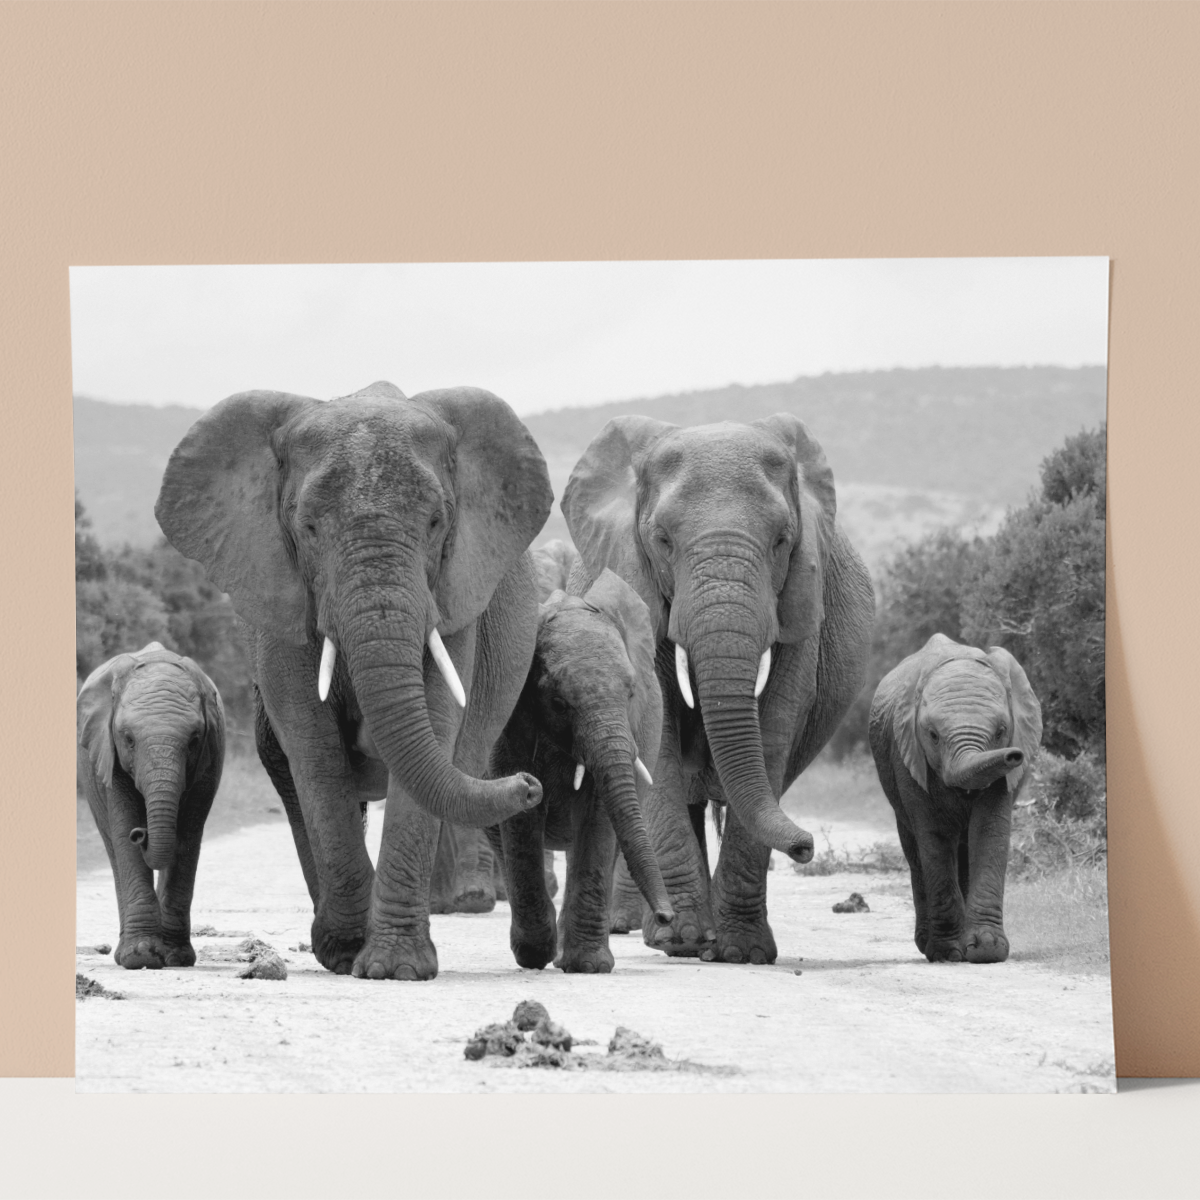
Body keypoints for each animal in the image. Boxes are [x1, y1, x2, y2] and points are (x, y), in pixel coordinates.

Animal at [76, 642, 225, 969]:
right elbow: (123, 829)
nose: (141, 833)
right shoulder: (109, 754)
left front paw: (176, 957)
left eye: (194, 740)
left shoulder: (209, 757)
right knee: (113, 846)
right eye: (129, 739)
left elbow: (189, 834)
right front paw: (141, 955)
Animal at [156, 381, 552, 980]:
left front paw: (395, 968)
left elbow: (437, 725)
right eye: (308, 528)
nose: (530, 785)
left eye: (436, 523)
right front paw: (348, 953)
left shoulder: (455, 594)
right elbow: (314, 748)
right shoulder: (279, 594)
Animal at [488, 568, 673, 972]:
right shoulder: (511, 723)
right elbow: (521, 813)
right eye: (558, 703)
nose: (668, 917)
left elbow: (598, 813)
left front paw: (588, 965)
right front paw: (535, 955)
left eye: (631, 693)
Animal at [562, 415, 875, 964]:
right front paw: (684, 941)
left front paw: (743, 952)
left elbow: (773, 731)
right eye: (662, 540)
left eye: (782, 540)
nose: (806, 847)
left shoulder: (799, 605)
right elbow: (660, 742)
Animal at [868, 633, 1043, 963]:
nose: (1015, 756)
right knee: (916, 852)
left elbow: (989, 831)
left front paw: (987, 950)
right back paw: (929, 944)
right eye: (933, 735)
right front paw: (948, 953)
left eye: (1001, 731)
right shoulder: (907, 755)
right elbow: (935, 838)